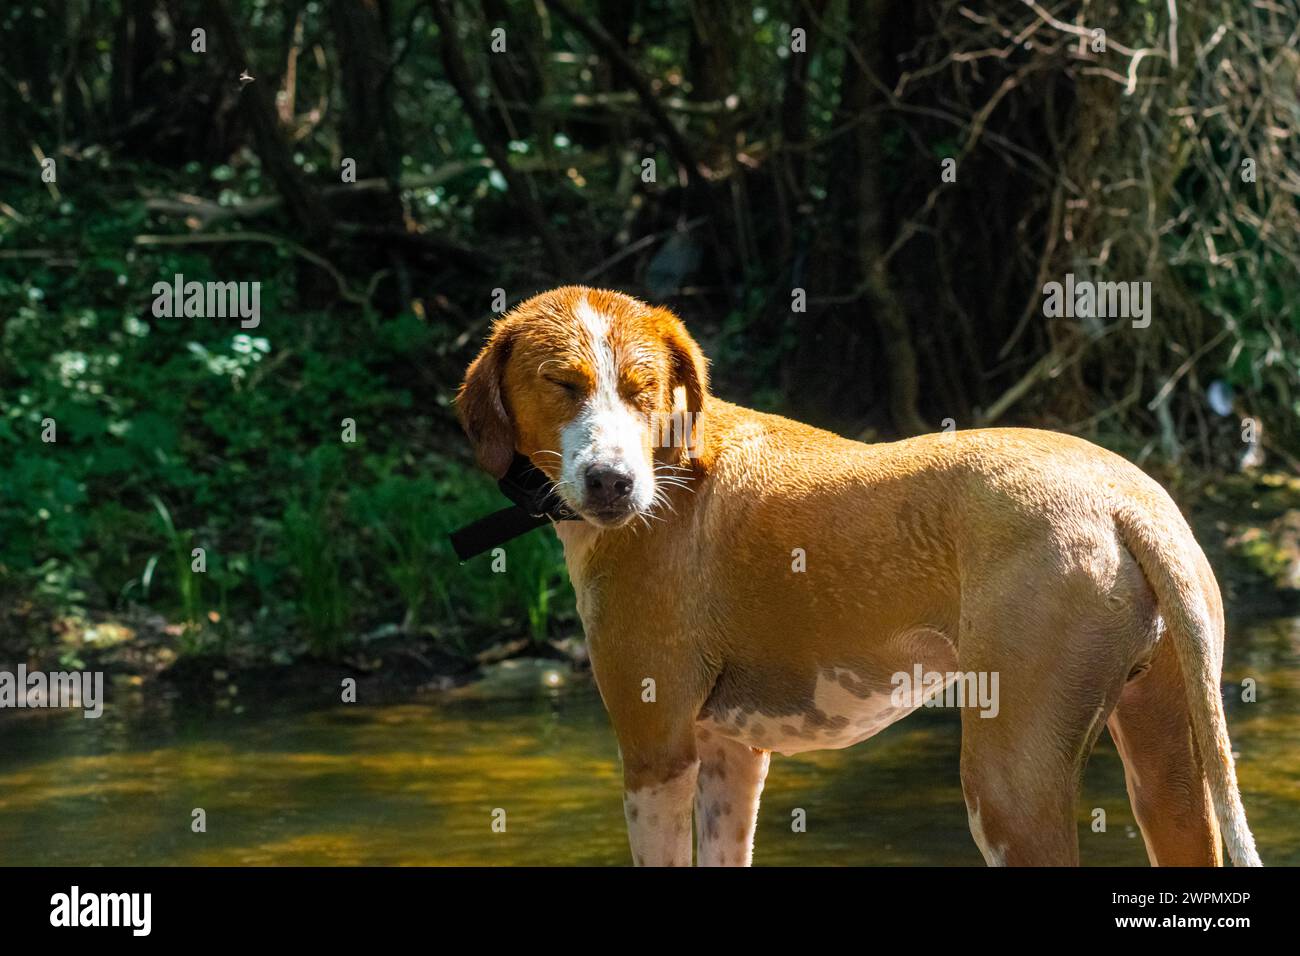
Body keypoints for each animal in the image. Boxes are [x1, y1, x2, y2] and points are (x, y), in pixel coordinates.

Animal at [457, 283, 1258, 868]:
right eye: (561, 384)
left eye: (641, 387)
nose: (613, 483)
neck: (672, 464)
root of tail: (1127, 502)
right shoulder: (732, 757)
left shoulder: (656, 751)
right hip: (1168, 770)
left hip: (1007, 787)